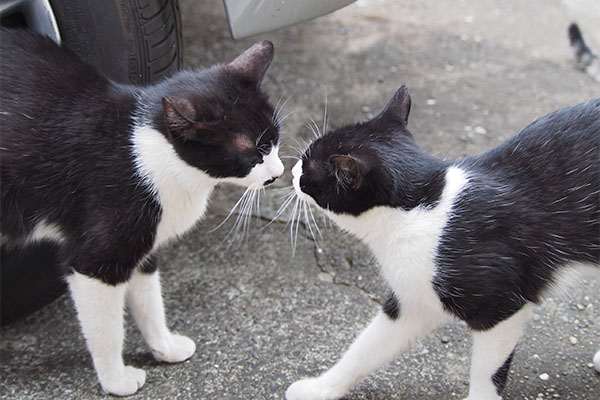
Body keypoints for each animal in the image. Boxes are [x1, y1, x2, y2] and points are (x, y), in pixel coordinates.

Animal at [0, 29, 284, 396]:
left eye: (275, 139)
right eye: (254, 153)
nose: (279, 172)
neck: (150, 153)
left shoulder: (145, 245)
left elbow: (149, 300)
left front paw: (164, 347)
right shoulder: (97, 259)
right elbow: (107, 328)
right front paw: (115, 379)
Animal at [286, 87, 600, 400]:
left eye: (308, 167)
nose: (291, 170)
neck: (422, 209)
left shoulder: (501, 307)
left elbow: (486, 372)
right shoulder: (412, 301)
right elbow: (365, 350)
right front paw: (320, 387)